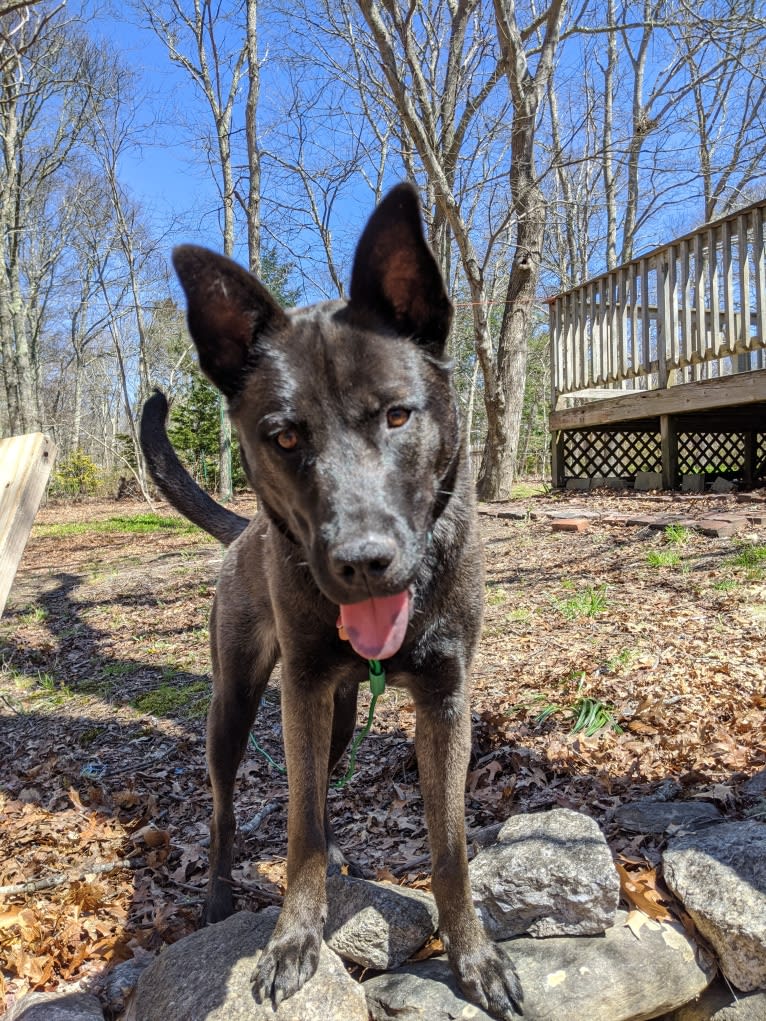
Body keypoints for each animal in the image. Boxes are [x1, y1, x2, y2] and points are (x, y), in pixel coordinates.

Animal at [139, 185, 522, 1021]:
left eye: (398, 415)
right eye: (283, 436)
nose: (363, 562)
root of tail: (242, 530)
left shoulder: (447, 700)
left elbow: (450, 847)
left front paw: (474, 955)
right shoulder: (303, 692)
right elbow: (300, 830)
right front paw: (292, 939)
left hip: (340, 714)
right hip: (240, 702)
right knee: (225, 804)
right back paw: (219, 895)